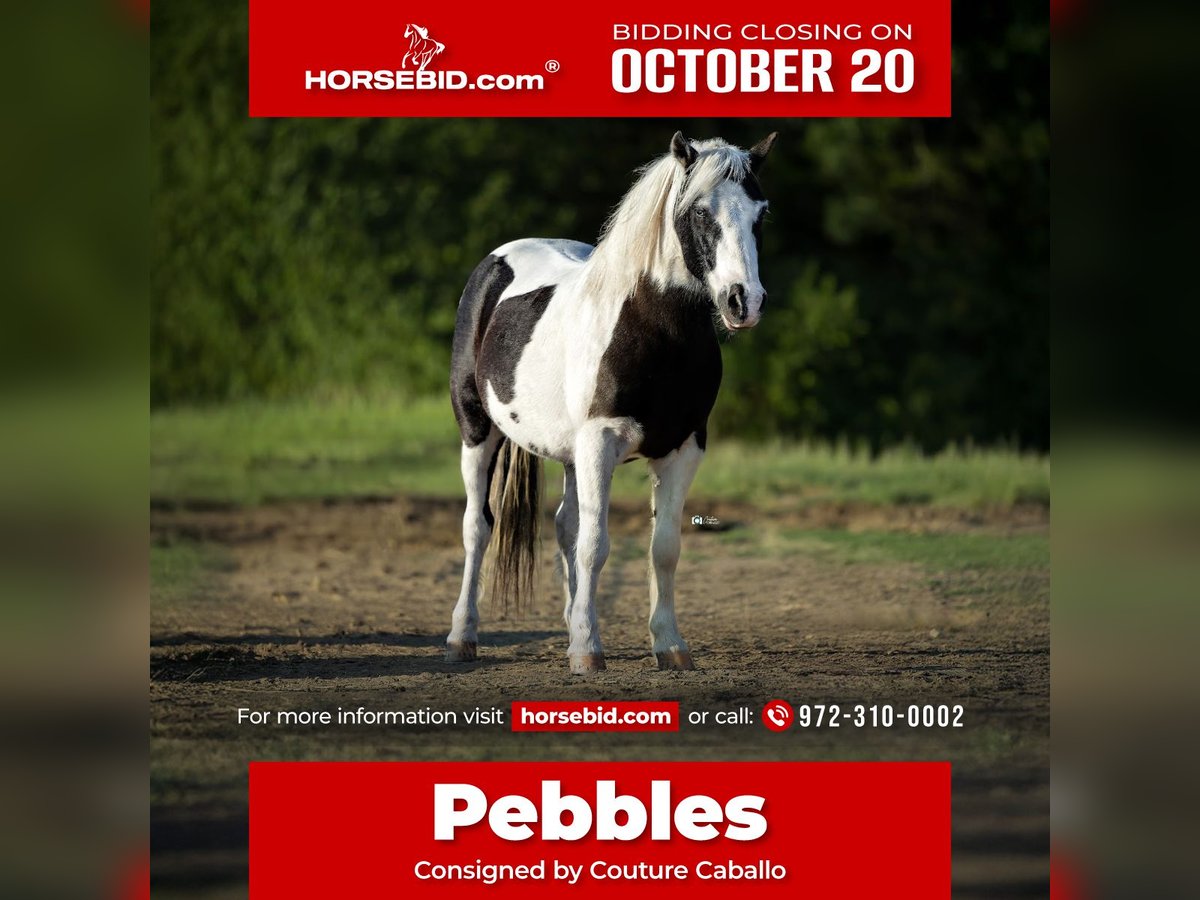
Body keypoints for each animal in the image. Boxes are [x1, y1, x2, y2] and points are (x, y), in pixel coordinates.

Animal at [446, 131, 776, 674]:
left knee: (564, 525)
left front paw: (669, 645)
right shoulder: (600, 442)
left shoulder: (684, 449)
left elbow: (663, 549)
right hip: (478, 432)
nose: (742, 302)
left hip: (570, 455)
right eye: (699, 212)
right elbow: (596, 545)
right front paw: (587, 651)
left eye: (761, 213)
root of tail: (495, 263)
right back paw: (462, 636)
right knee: (478, 527)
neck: (653, 330)